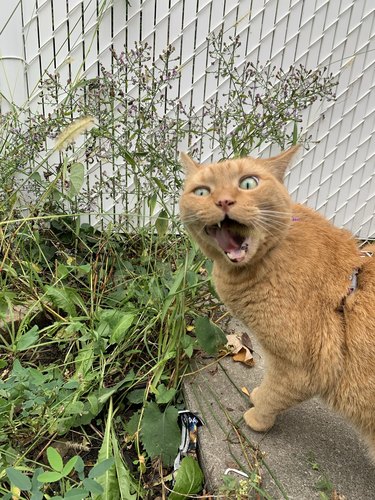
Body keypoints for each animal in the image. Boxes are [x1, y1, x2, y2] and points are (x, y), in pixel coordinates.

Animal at [180, 146, 375, 458]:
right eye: (201, 191)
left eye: (248, 183)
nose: (223, 200)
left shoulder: (299, 369)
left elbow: (274, 394)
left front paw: (257, 417)